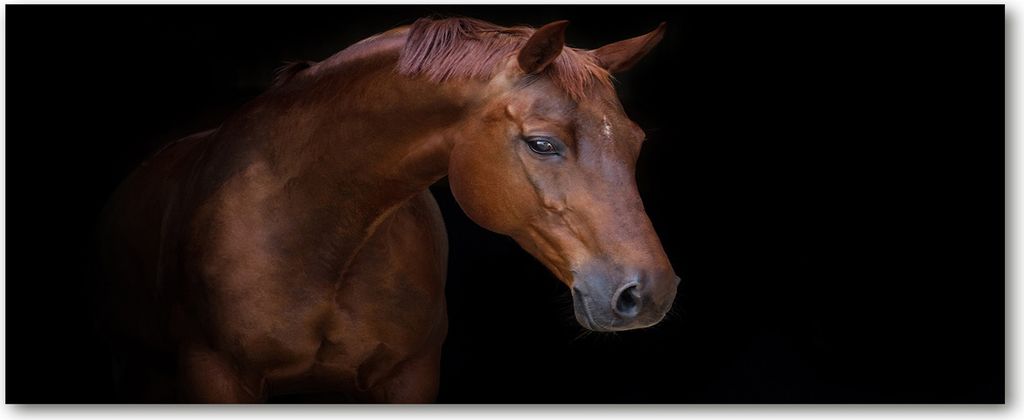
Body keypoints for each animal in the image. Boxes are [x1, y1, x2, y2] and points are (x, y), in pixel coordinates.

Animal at [99, 16, 679, 403]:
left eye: (636, 142)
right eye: (542, 144)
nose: (650, 292)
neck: (316, 231)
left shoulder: (410, 376)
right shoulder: (215, 372)